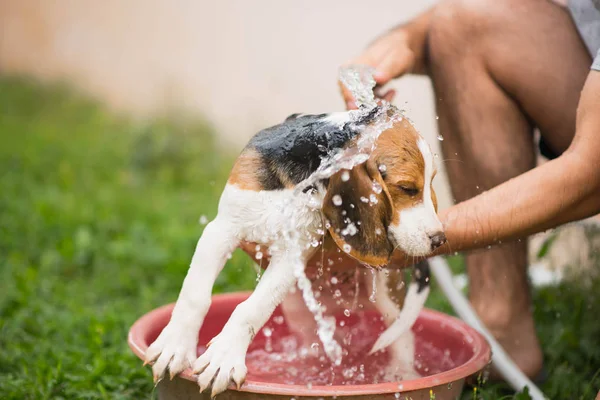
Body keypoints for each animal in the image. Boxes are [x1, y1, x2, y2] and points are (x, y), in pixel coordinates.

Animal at [145, 106, 446, 396]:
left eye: (430, 183)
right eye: (407, 189)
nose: (440, 239)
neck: (304, 180)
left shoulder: (291, 255)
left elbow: (250, 309)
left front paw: (224, 357)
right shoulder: (221, 230)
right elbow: (195, 296)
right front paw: (175, 347)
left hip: (385, 290)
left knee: (403, 333)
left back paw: (401, 375)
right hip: (298, 310)